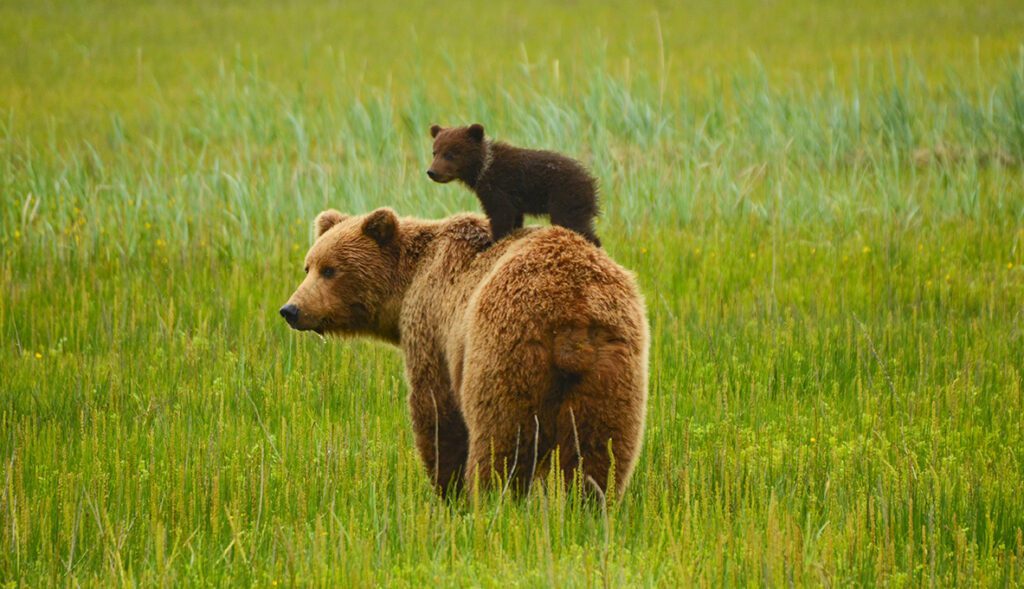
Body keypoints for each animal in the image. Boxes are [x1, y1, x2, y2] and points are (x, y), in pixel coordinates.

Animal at [280, 208, 648, 498]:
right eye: (308, 266)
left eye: (330, 269)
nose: (291, 310)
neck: (408, 283)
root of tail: (572, 311)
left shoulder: (432, 325)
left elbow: (435, 409)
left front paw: (447, 488)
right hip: (613, 365)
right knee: (601, 446)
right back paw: (587, 505)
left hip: (505, 350)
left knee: (501, 436)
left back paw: (492, 500)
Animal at [426, 124, 603, 247]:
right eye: (435, 152)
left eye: (450, 154)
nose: (432, 172)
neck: (482, 168)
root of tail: (591, 183)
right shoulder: (511, 197)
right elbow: (515, 217)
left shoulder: (498, 187)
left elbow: (501, 214)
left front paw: (492, 241)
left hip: (565, 198)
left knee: (574, 225)